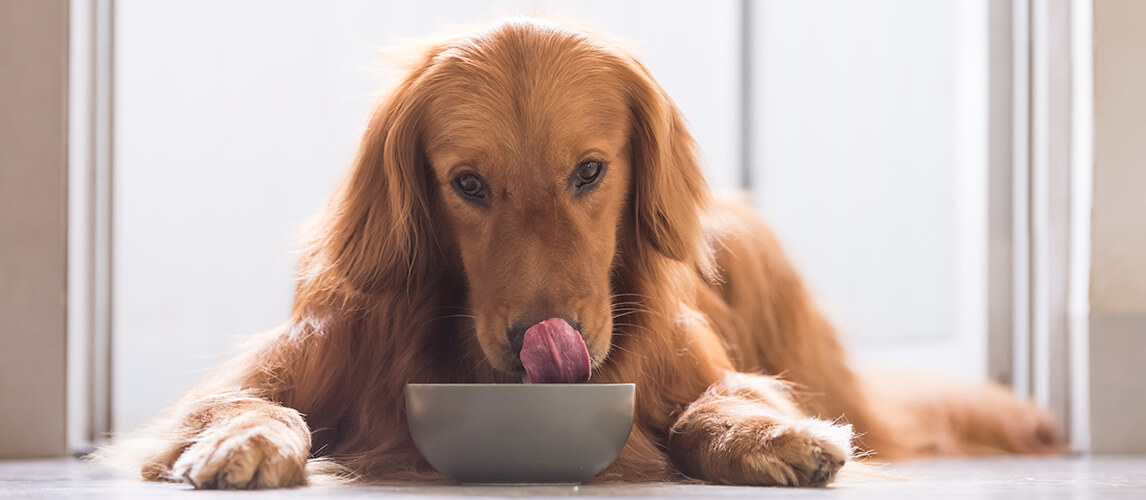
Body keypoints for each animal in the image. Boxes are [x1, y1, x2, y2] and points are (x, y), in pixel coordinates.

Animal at [107, 18, 1054, 488]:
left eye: (590, 171)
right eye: (468, 184)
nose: (543, 340)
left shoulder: (691, 365)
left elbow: (714, 402)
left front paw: (765, 433)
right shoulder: (290, 361)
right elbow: (244, 404)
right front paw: (245, 439)